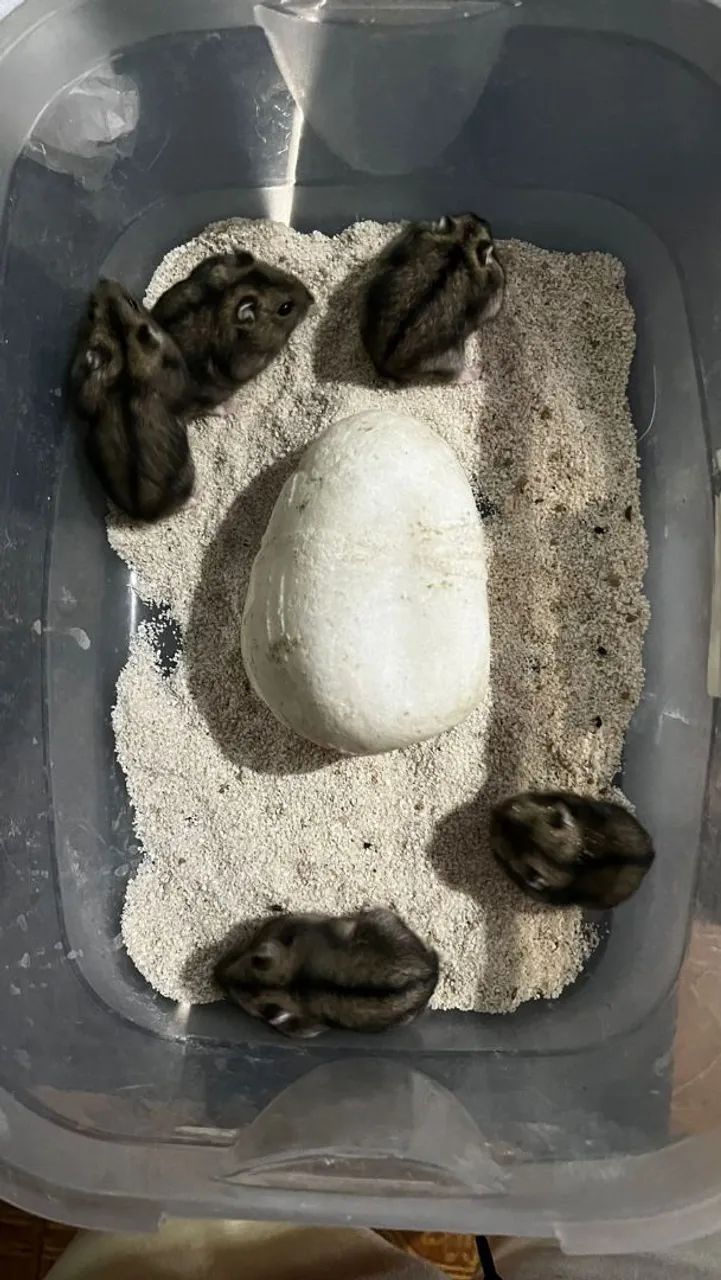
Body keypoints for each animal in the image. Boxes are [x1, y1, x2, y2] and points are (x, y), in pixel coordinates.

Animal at [360, 213, 505, 384]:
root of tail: (384, 365)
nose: (483, 219)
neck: (461, 245)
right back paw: (477, 371)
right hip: (450, 357)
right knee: (455, 375)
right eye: (488, 234)